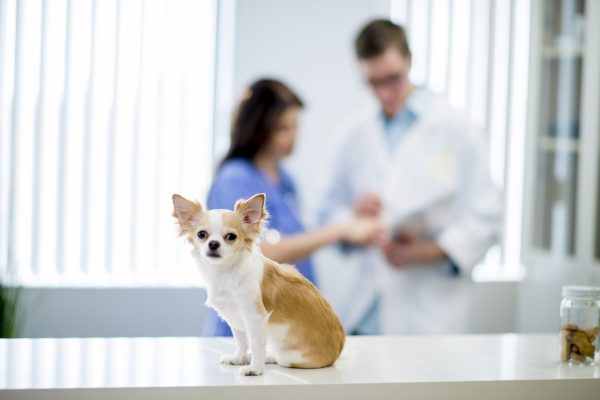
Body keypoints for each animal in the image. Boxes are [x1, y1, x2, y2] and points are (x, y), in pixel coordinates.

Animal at [171, 193, 344, 376]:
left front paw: (255, 369)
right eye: (202, 234)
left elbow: (256, 345)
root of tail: (337, 352)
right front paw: (239, 358)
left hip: (290, 357)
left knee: (280, 358)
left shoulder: (255, 318)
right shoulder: (235, 319)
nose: (213, 243)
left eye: (231, 236)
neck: (225, 272)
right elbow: (241, 341)